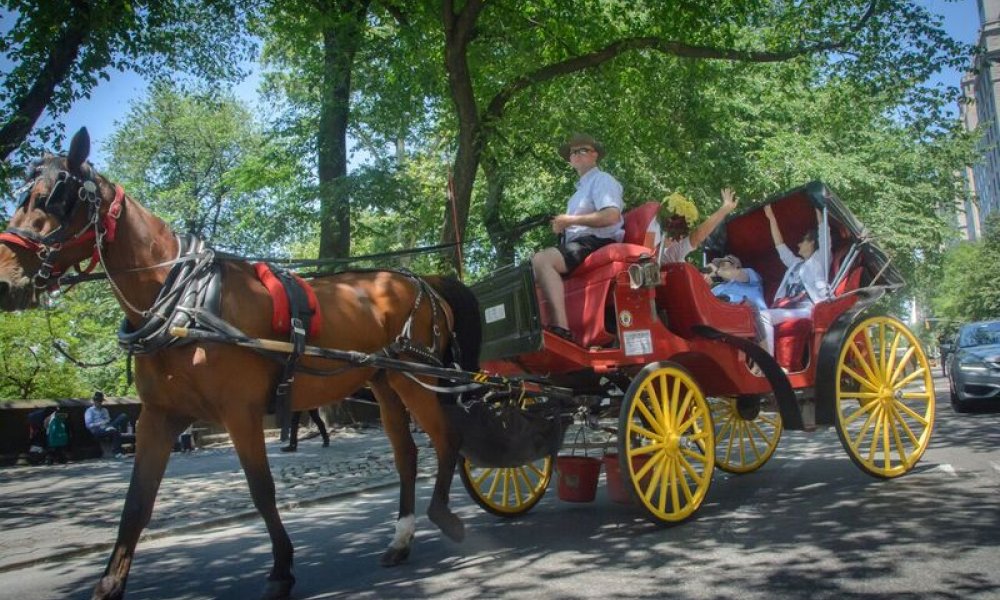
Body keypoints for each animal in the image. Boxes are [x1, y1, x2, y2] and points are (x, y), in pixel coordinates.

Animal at [0, 129, 480, 596]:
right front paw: (109, 583)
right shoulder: (159, 416)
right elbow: (136, 504)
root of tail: (421, 280)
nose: (6, 279)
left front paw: (282, 568)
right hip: (384, 382)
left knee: (448, 438)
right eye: (24, 195)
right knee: (407, 454)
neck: (184, 303)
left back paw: (444, 515)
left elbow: (261, 490)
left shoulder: (240, 412)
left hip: (415, 378)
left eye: (53, 197)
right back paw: (401, 539)